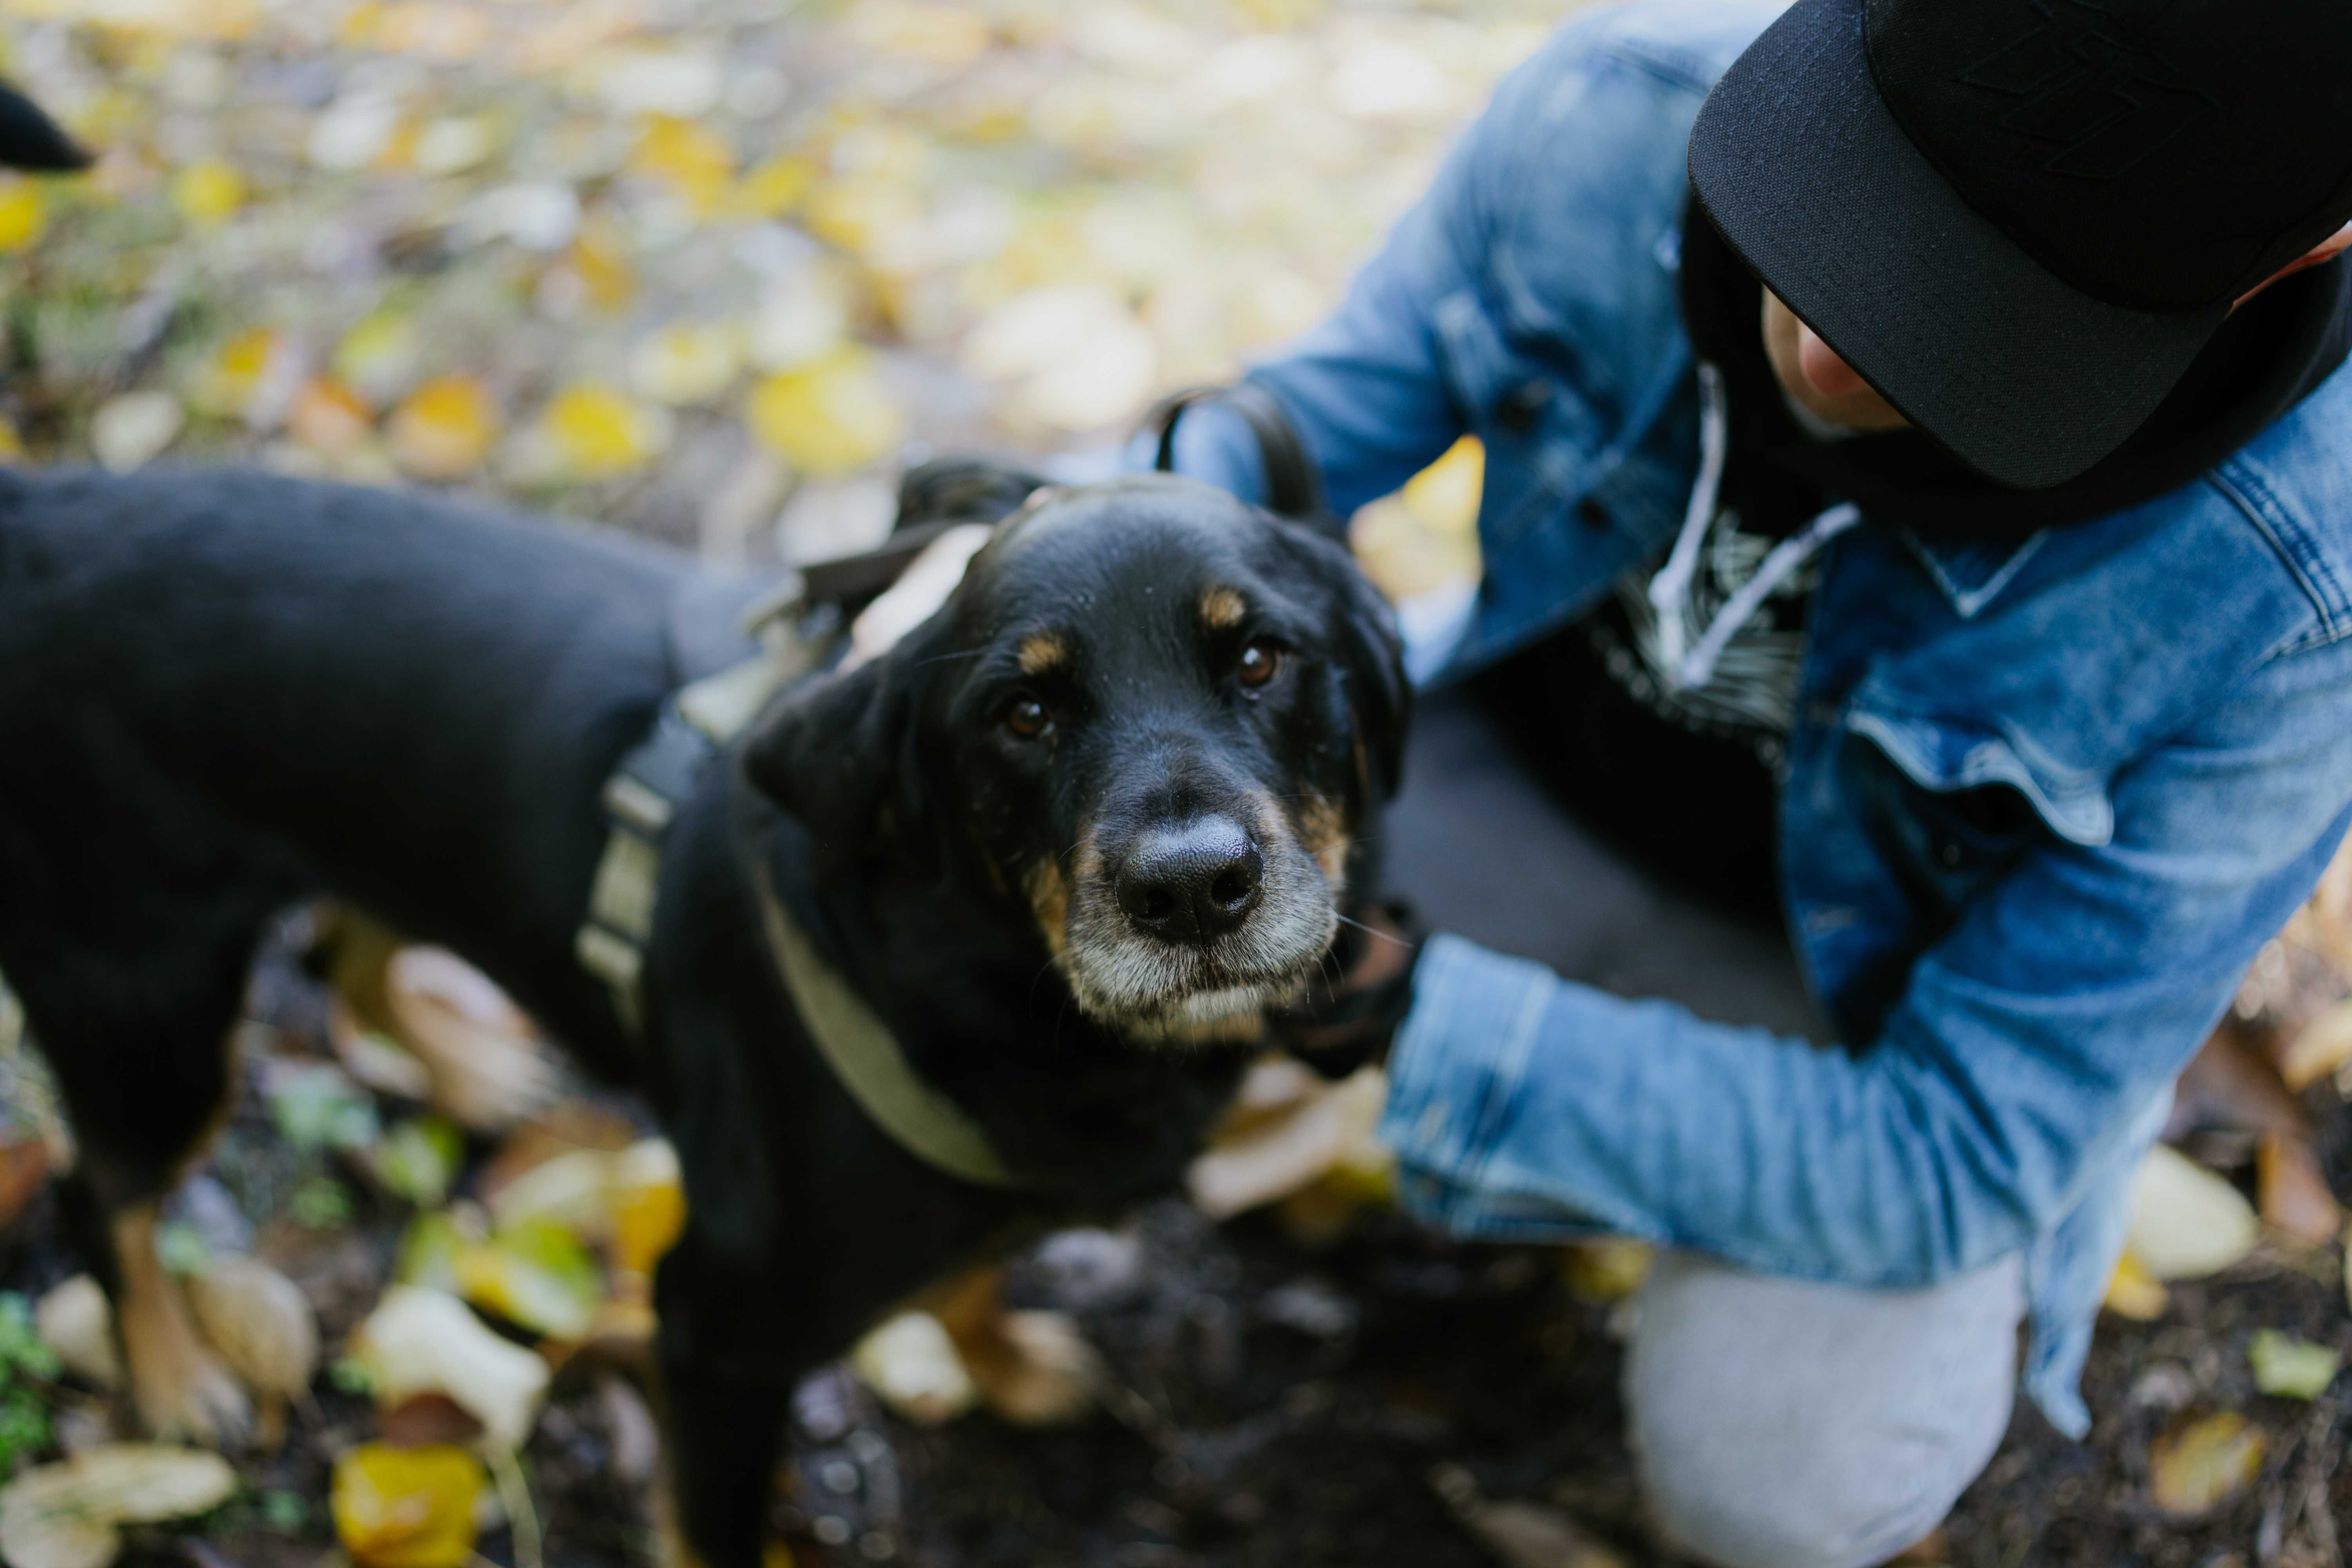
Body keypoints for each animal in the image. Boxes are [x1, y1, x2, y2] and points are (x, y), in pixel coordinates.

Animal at [0, 435, 1402, 1561]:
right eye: (1024, 710)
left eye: (1262, 657)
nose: (1191, 891)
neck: (994, 985)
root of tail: (44, 510)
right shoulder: (711, 1331)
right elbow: (720, 1524)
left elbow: (969, 1277)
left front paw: (1002, 1367)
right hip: (148, 1003)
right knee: (95, 1192)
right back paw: (177, 1388)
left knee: (347, 949)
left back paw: (466, 1072)